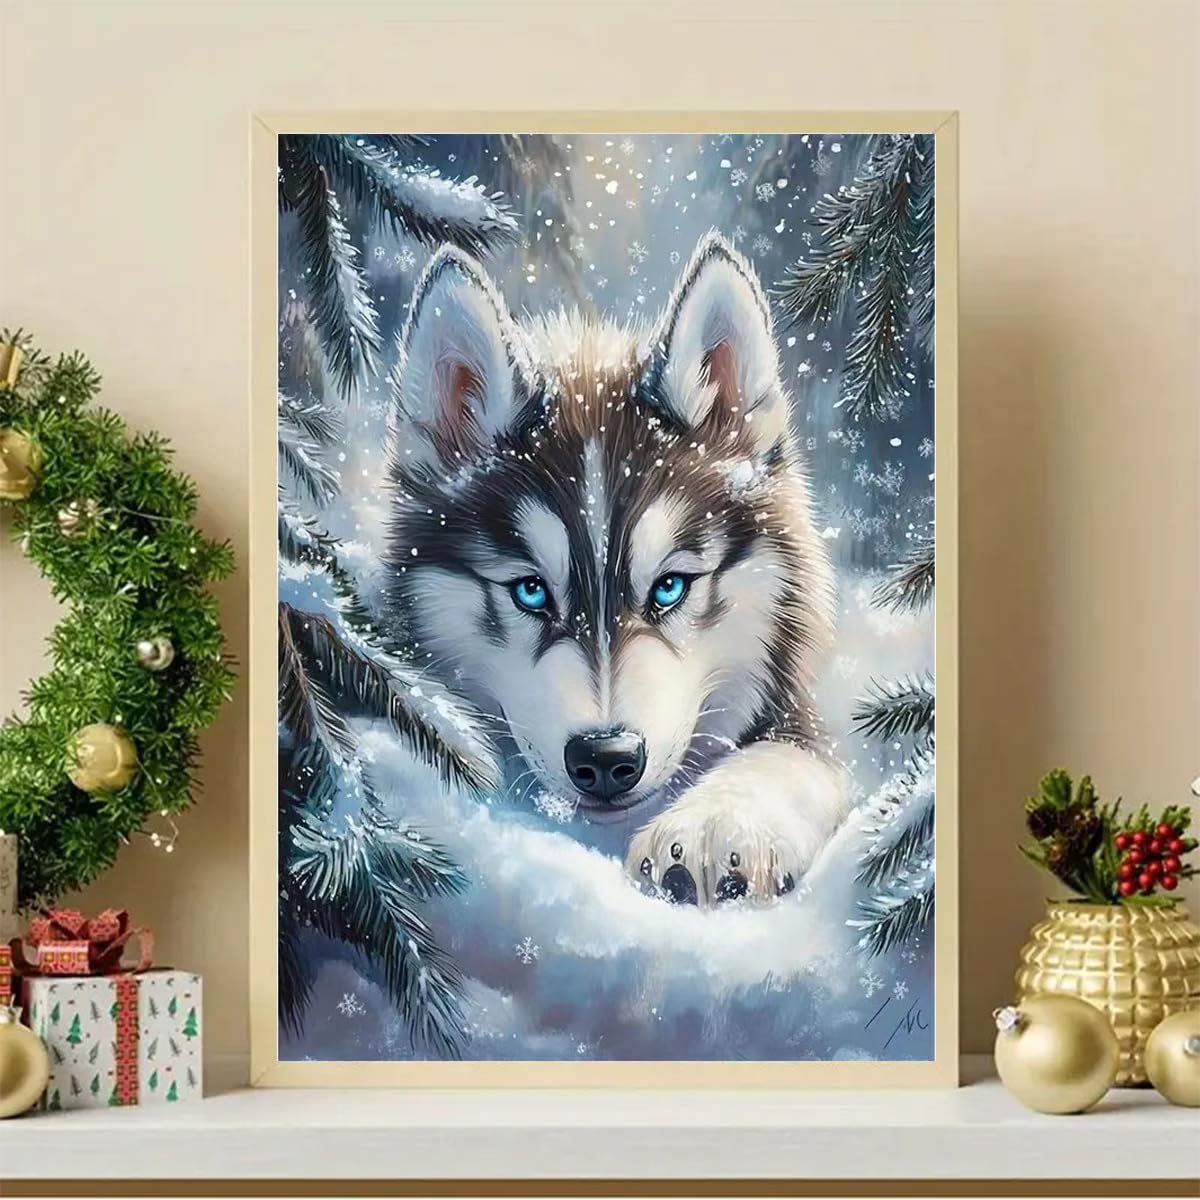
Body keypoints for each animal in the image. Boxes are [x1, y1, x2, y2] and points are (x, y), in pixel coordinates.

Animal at [382, 231, 848, 907]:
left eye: (670, 587)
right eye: (530, 591)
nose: (606, 758)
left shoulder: (800, 720)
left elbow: (786, 761)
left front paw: (714, 826)